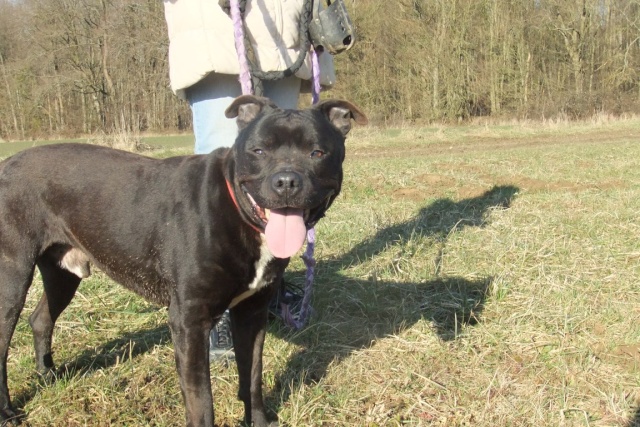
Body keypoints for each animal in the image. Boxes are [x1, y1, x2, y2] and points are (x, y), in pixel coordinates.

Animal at [0, 97, 364, 427]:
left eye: (317, 153)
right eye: (259, 151)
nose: (286, 181)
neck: (238, 212)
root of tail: (7, 163)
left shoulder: (252, 311)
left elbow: (253, 377)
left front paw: (258, 421)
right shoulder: (189, 320)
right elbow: (201, 399)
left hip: (62, 272)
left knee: (40, 319)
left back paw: (48, 374)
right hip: (12, 275)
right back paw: (7, 411)